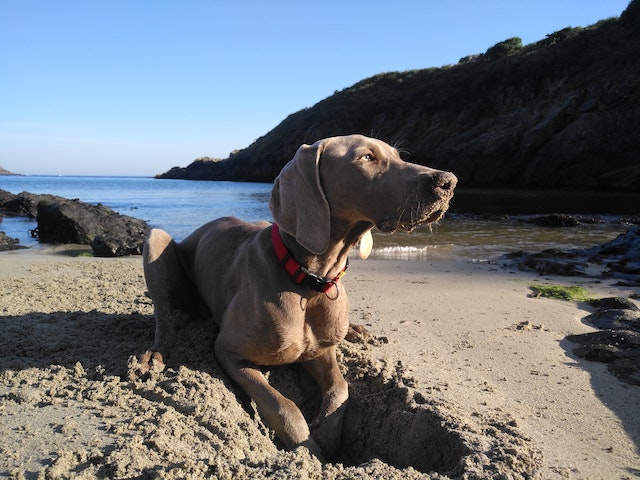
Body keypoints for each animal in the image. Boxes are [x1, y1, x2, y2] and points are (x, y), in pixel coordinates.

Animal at [134, 134, 457, 459]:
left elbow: (341, 389)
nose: (448, 181)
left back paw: (357, 331)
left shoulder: (319, 350)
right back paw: (153, 356)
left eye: (399, 156)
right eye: (367, 157)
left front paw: (325, 435)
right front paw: (309, 448)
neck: (309, 283)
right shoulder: (228, 350)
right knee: (163, 314)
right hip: (156, 240)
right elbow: (283, 405)